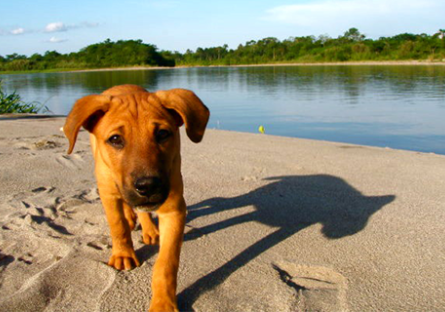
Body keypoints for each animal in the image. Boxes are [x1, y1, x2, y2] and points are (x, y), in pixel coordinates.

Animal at [63, 84, 210, 310]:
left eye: (163, 134)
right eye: (115, 139)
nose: (148, 186)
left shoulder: (174, 207)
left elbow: (166, 264)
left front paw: (163, 303)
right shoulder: (108, 193)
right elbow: (118, 226)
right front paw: (123, 254)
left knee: (143, 212)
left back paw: (148, 229)